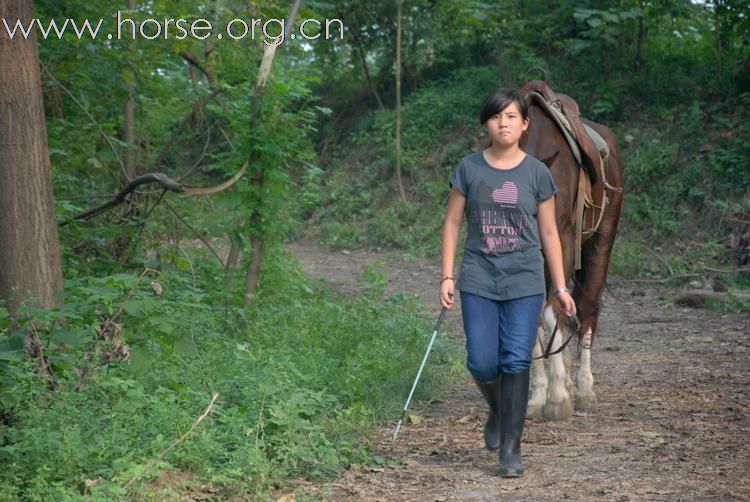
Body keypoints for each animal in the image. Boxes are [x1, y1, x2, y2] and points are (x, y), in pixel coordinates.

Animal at [520, 85, 624, 420]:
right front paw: (539, 395)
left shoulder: (563, 242)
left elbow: (554, 311)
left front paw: (556, 398)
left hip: (600, 241)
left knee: (588, 306)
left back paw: (584, 390)